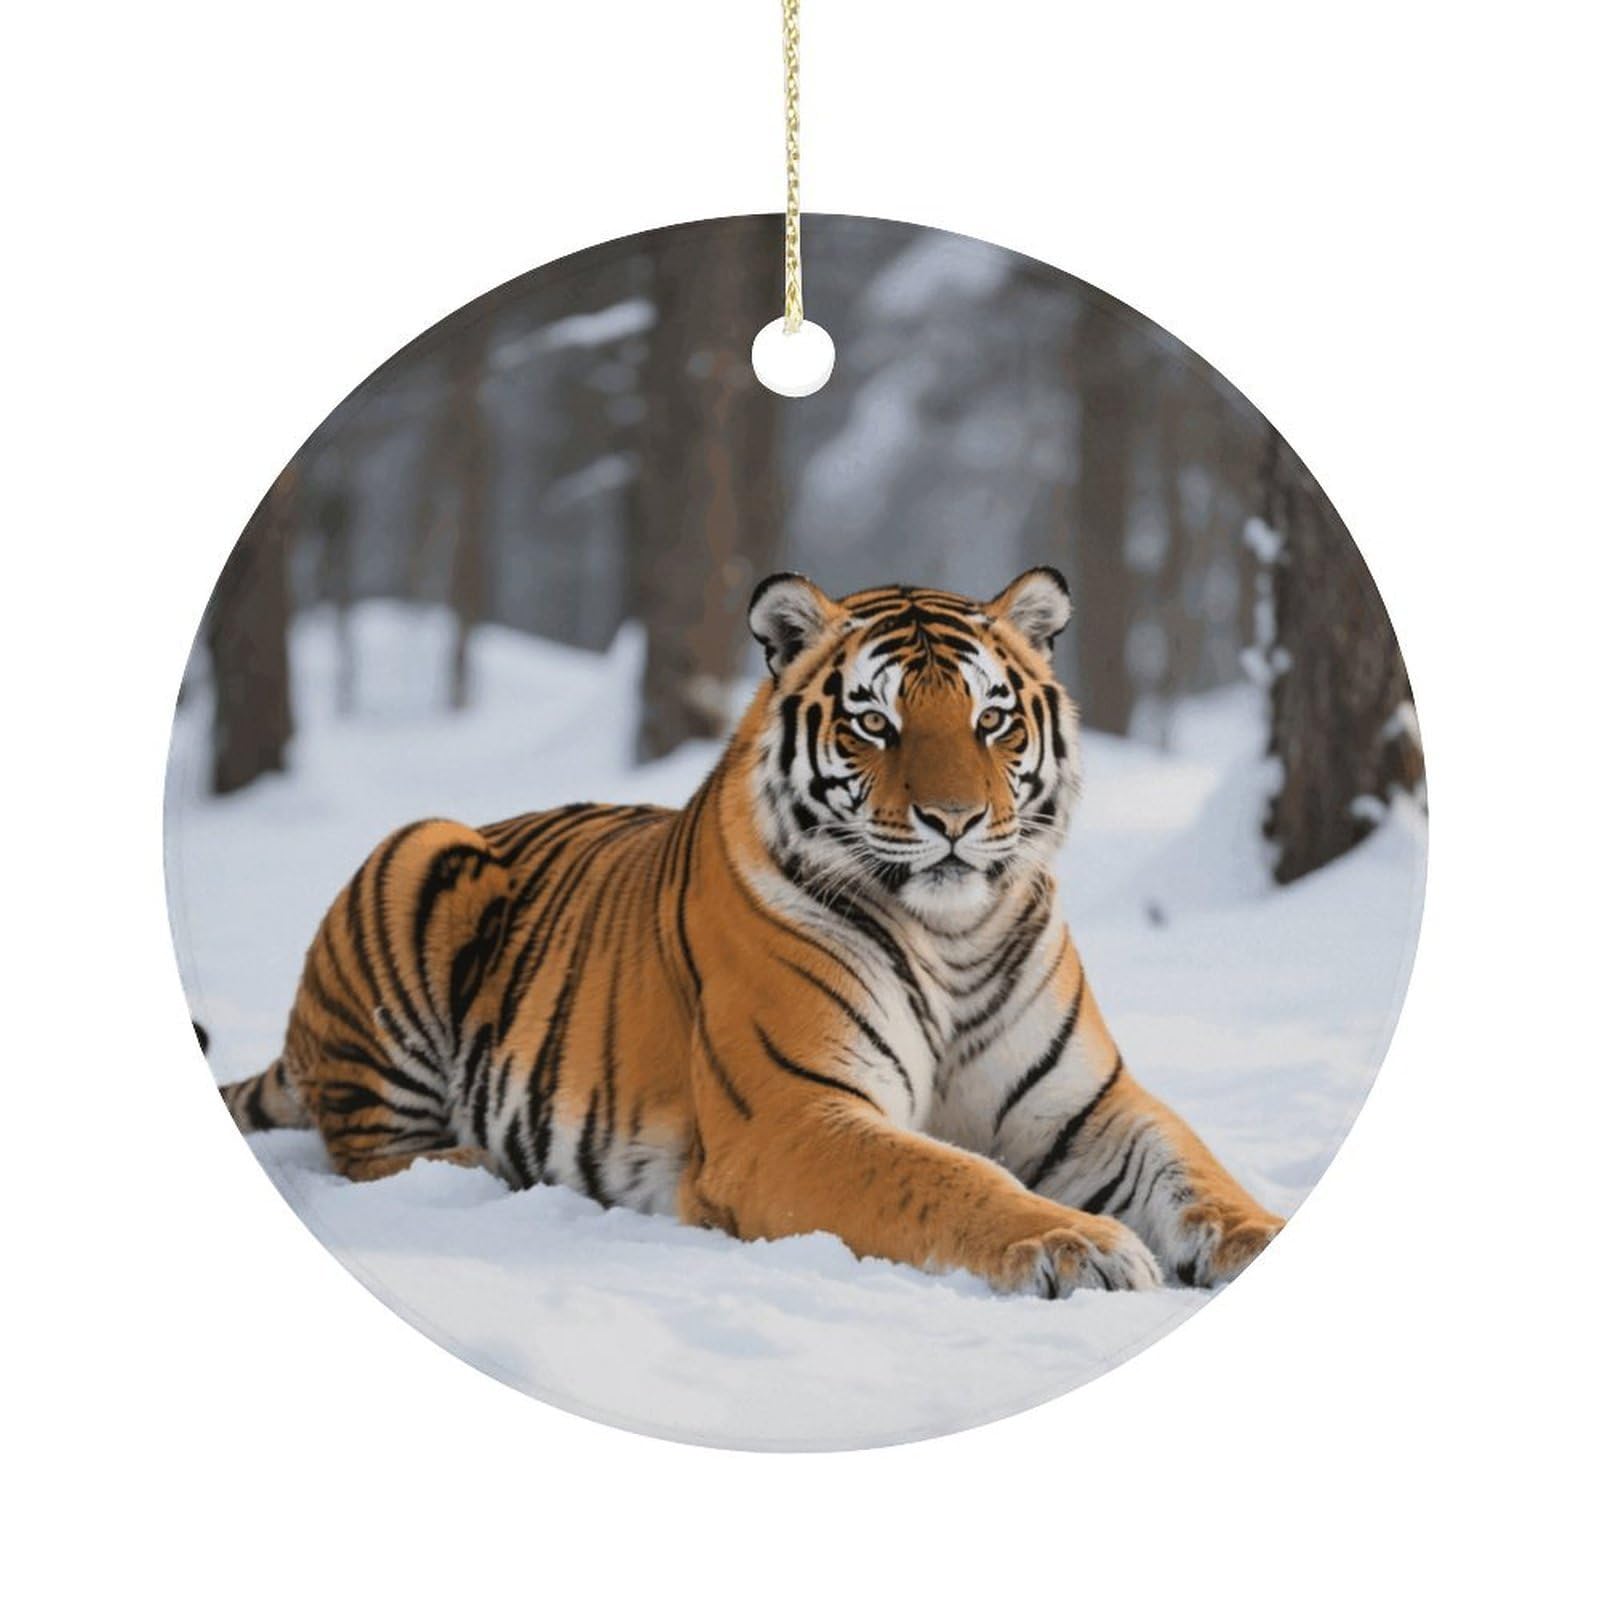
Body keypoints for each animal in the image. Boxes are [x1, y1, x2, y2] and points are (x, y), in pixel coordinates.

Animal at [219, 568, 1284, 1296]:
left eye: (992, 720)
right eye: (876, 724)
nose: (954, 820)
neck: (953, 938)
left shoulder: (1089, 1110)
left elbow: (1197, 1174)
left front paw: (1266, 1237)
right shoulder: (794, 1114)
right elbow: (949, 1176)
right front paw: (1081, 1246)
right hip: (420, 850)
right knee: (368, 1148)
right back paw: (486, 1173)